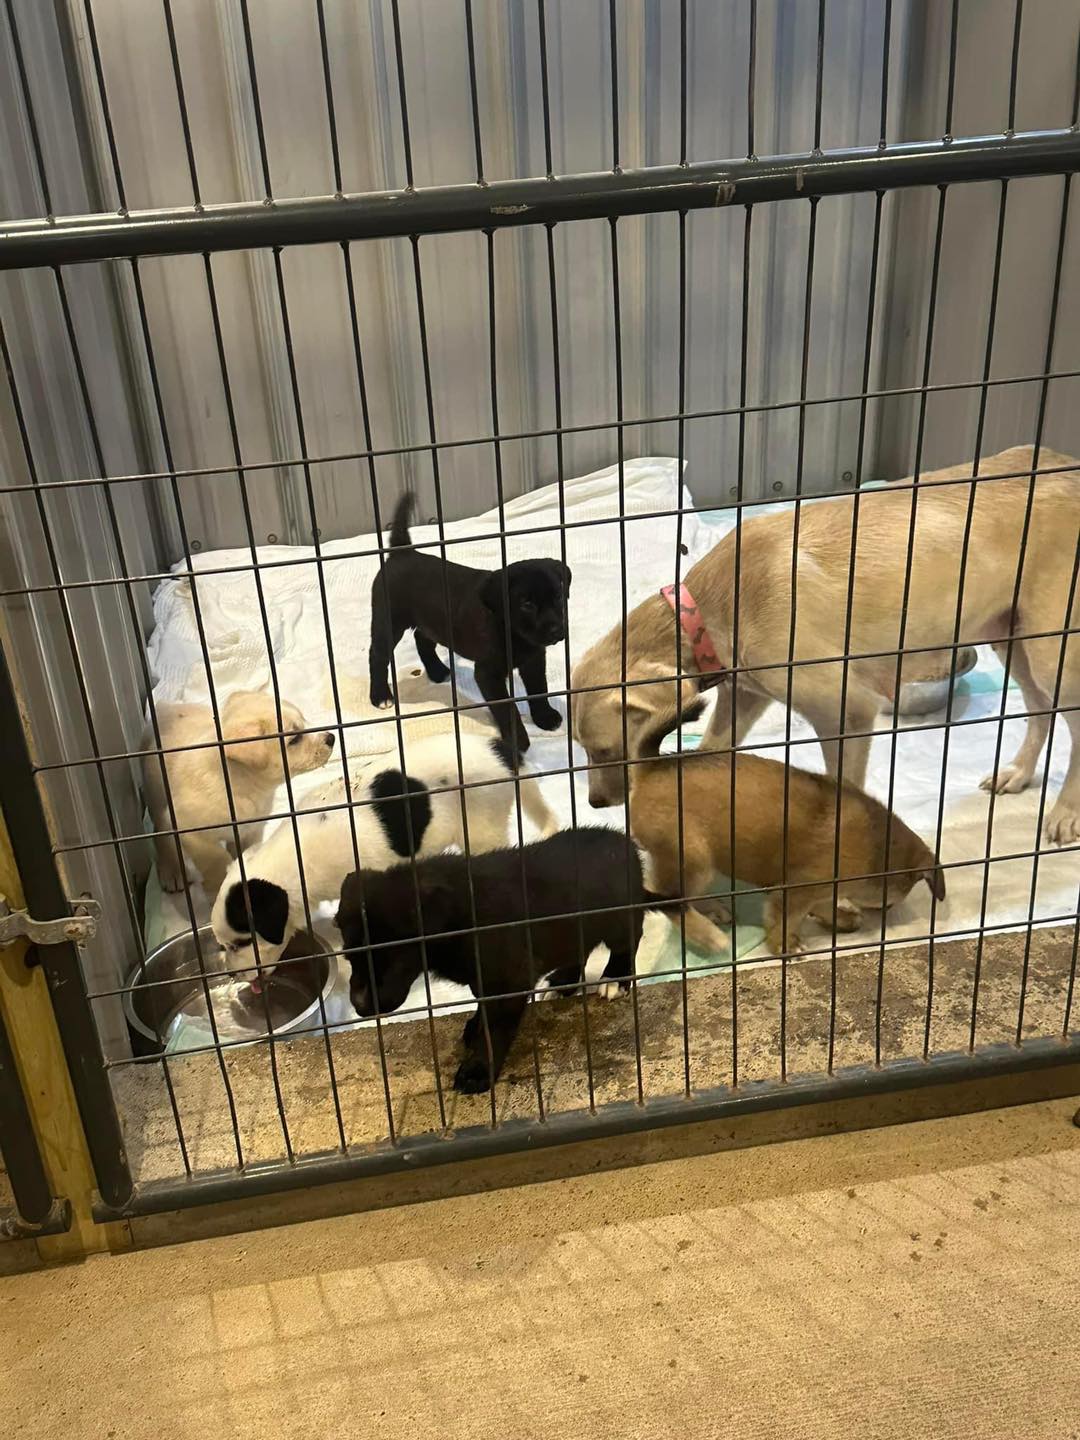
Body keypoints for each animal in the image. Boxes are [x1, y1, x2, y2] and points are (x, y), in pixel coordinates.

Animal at [141, 688, 334, 898]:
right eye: (295, 739)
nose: (331, 738)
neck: (240, 784)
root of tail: (165, 708)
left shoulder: (251, 829)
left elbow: (245, 854)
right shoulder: (189, 830)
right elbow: (216, 858)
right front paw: (220, 884)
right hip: (157, 802)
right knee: (161, 836)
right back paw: (171, 872)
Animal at [338, 835, 650, 1088]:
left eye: (390, 961)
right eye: (349, 958)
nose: (359, 1006)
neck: (459, 917)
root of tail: (630, 849)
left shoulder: (508, 980)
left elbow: (495, 1028)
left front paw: (478, 1070)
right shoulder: (483, 978)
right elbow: (482, 1004)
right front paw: (475, 1024)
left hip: (618, 920)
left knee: (628, 942)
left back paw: (615, 978)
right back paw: (562, 982)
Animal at [371, 495, 576, 760]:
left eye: (559, 597)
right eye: (527, 605)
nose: (556, 631)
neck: (513, 632)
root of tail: (402, 552)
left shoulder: (534, 659)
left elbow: (539, 687)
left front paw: (545, 716)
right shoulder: (488, 674)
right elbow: (507, 708)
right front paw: (516, 742)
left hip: (432, 620)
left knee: (422, 639)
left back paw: (437, 671)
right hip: (389, 621)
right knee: (378, 655)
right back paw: (380, 696)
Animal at [576, 440, 1080, 840]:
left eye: (605, 751)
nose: (595, 804)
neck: (712, 607)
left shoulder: (848, 711)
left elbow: (846, 789)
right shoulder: (744, 695)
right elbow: (712, 748)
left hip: (1051, 651)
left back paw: (1065, 814)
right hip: (1012, 636)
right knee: (1040, 710)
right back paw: (1018, 773)